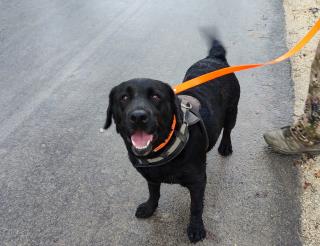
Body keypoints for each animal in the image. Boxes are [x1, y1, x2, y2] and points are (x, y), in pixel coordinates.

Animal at [103, 37, 240, 243]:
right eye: (124, 97)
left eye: (155, 96)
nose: (138, 117)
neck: (163, 148)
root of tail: (215, 58)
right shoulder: (150, 176)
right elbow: (154, 193)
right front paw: (149, 207)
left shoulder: (198, 181)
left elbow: (196, 207)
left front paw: (196, 228)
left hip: (232, 111)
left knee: (227, 130)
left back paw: (225, 146)